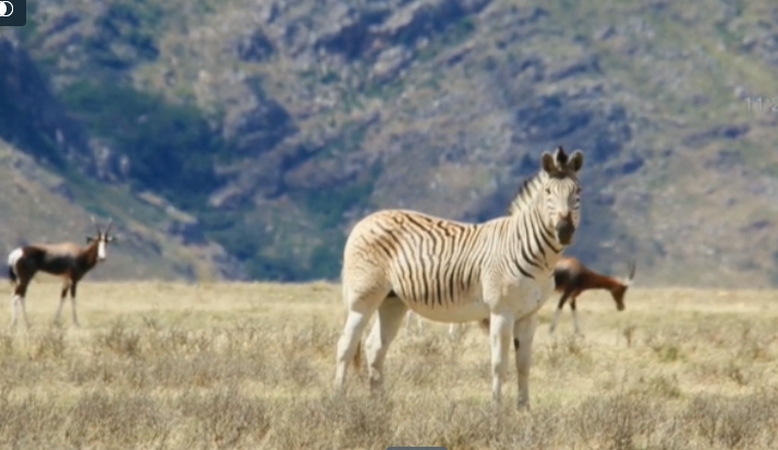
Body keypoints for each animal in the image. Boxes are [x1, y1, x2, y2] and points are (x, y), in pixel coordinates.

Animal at [332, 146, 584, 410]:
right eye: (548, 192)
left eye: (578, 191)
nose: (564, 231)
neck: (534, 254)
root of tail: (364, 221)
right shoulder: (501, 312)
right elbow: (499, 364)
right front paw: (496, 410)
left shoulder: (529, 315)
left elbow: (523, 365)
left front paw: (524, 410)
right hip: (363, 298)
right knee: (346, 345)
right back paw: (338, 400)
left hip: (392, 301)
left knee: (374, 347)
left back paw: (379, 405)